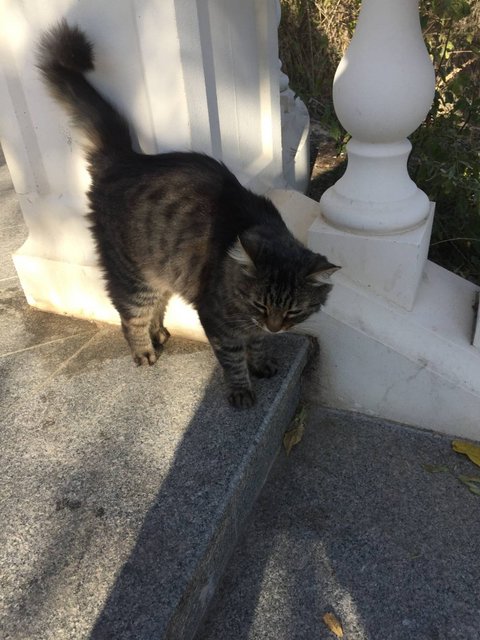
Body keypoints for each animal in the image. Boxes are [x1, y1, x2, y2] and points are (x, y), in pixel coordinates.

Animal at [37, 20, 339, 409]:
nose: (273, 326)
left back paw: (160, 333)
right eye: (261, 305)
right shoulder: (217, 319)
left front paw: (261, 362)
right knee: (129, 316)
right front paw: (241, 390)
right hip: (132, 276)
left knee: (154, 307)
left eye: (292, 312)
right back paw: (144, 351)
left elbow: (256, 346)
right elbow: (233, 358)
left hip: (160, 271)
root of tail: (127, 158)